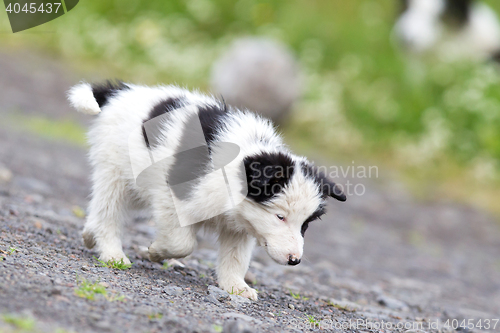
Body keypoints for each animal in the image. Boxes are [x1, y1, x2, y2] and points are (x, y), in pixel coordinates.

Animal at [68, 81, 346, 300]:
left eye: (305, 225)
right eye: (280, 217)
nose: (294, 260)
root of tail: (120, 92)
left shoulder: (242, 224)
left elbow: (236, 258)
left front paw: (235, 287)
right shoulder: (173, 196)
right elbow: (182, 242)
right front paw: (156, 252)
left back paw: (90, 236)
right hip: (116, 173)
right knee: (109, 212)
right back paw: (112, 253)